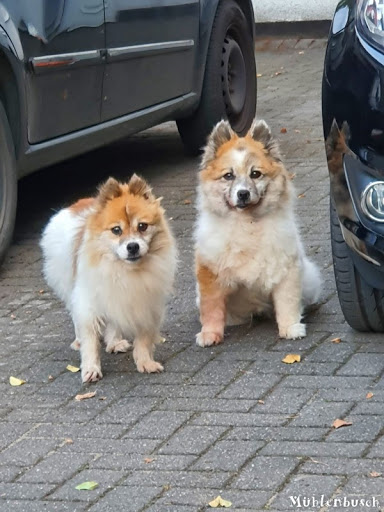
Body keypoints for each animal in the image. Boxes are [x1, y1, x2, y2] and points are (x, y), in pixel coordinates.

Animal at [40, 175, 176, 380]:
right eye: (116, 230)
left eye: (142, 226)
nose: (133, 246)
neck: (125, 271)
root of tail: (77, 204)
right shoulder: (89, 303)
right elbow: (90, 340)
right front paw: (91, 368)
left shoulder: (145, 305)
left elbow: (143, 339)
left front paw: (145, 362)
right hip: (68, 283)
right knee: (74, 314)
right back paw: (79, 341)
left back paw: (114, 342)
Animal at [195, 118, 320, 346]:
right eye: (228, 176)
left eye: (255, 174)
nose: (243, 193)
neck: (247, 224)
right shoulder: (210, 275)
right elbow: (212, 309)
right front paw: (210, 334)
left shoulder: (285, 269)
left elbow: (287, 302)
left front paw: (290, 328)